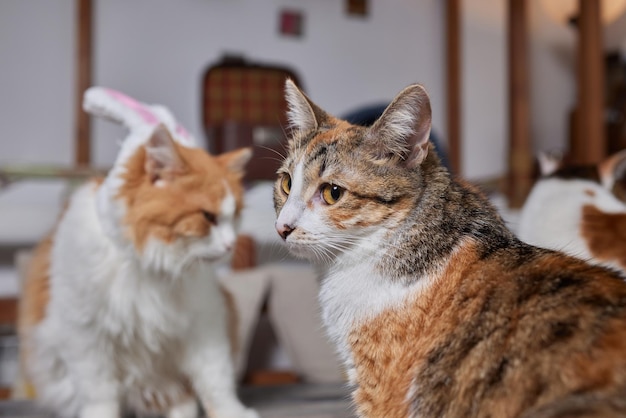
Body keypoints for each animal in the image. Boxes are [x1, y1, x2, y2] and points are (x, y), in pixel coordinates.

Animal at [19, 89, 258, 418]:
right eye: (208, 217)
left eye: (234, 216)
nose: (231, 245)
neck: (147, 264)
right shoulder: (85, 334)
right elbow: (99, 393)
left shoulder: (205, 322)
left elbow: (216, 381)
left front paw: (232, 412)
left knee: (179, 396)